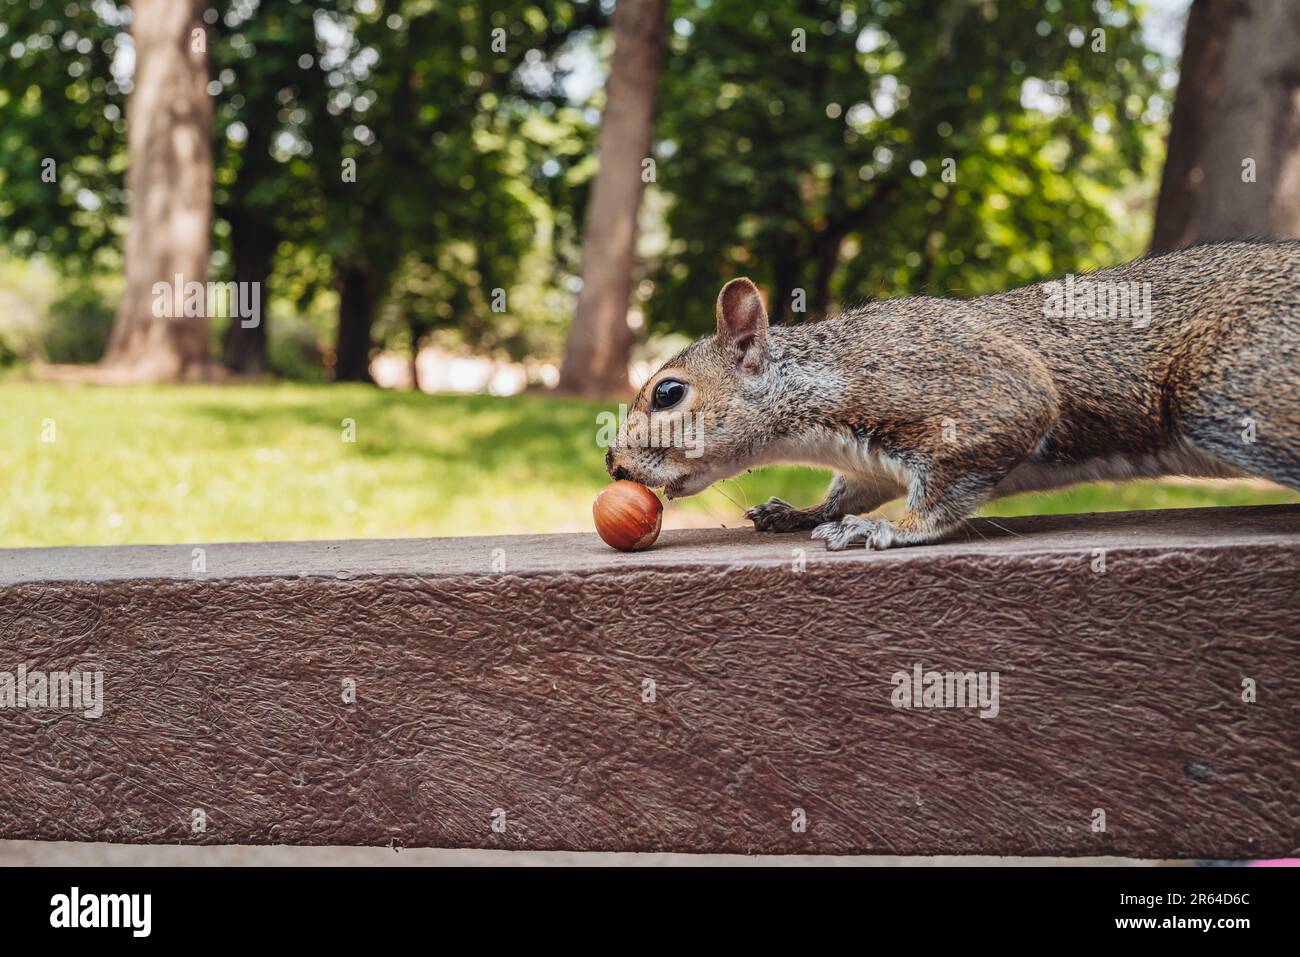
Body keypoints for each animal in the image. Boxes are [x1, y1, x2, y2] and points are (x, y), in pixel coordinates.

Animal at [605, 239, 1300, 550]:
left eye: (669, 393)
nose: (612, 462)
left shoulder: (971, 397)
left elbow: (944, 494)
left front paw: (887, 529)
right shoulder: (867, 459)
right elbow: (851, 490)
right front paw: (800, 512)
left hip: (1227, 390)